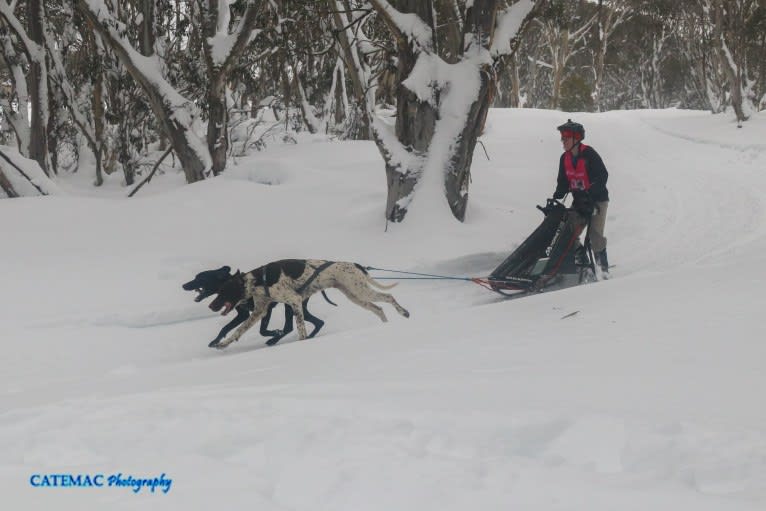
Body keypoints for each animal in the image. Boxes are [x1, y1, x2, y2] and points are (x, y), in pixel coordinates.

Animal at [184, 264, 336, 348]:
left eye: (199, 278)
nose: (184, 285)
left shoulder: (263, 310)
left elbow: (262, 330)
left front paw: (275, 332)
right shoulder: (244, 314)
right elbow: (225, 328)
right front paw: (215, 341)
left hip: (290, 306)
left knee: (289, 327)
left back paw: (275, 339)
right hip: (297, 307)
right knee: (318, 322)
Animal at [207, 260, 412, 348]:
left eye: (223, 292)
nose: (210, 306)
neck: (259, 280)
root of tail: (355, 264)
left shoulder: (294, 302)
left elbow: (300, 329)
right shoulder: (260, 311)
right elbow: (238, 331)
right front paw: (223, 343)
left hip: (360, 291)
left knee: (388, 297)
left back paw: (404, 312)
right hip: (355, 296)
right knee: (379, 308)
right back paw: (385, 325)